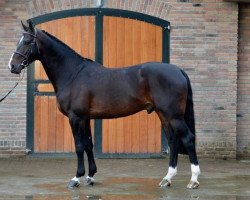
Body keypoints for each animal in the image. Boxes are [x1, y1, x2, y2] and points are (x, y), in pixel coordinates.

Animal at [8, 21, 201, 190]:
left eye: (27, 41)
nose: (12, 66)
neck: (73, 73)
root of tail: (178, 70)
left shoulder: (75, 117)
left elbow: (79, 146)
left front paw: (76, 178)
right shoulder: (85, 118)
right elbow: (88, 144)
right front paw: (90, 176)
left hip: (173, 116)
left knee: (188, 138)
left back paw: (193, 180)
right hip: (164, 115)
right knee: (173, 141)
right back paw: (167, 179)